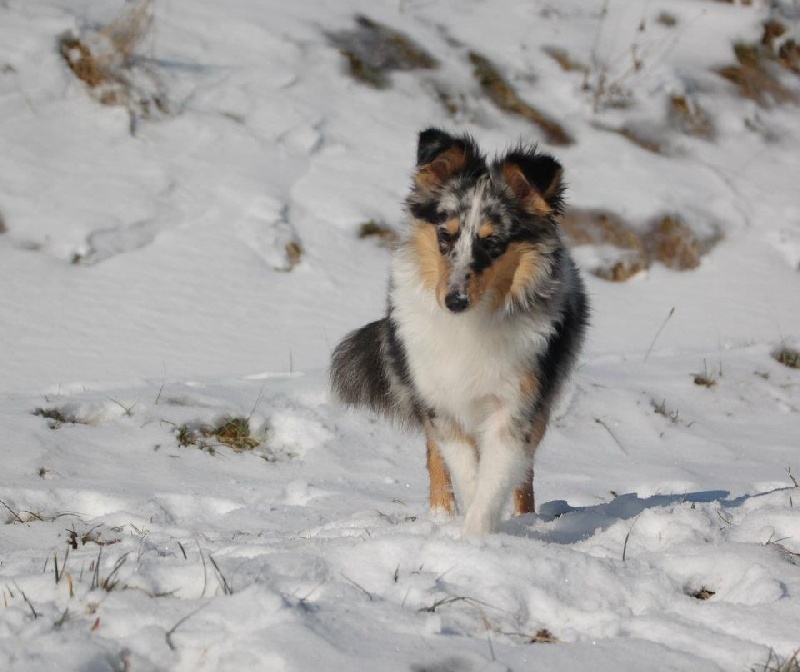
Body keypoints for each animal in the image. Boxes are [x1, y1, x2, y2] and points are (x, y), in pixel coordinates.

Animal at [332, 126, 588, 536]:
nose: (454, 301)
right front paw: (462, 529)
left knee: (524, 473)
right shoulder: (440, 401)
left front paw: (477, 536)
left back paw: (525, 518)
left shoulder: (516, 404)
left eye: (492, 242)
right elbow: (465, 471)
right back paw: (440, 515)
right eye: (445, 235)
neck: (471, 324)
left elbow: (495, 478)